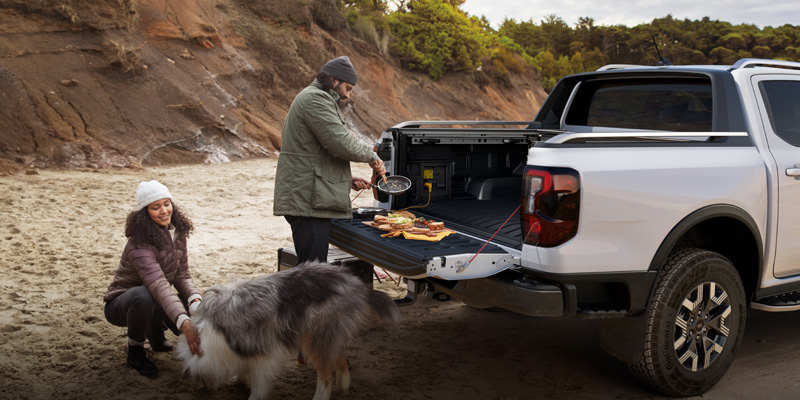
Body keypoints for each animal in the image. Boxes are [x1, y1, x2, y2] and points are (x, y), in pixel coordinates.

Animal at [175, 260, 400, 398]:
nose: (205, 388)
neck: (212, 333)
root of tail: (356, 284)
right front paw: (240, 381)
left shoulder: (263, 355)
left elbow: (258, 384)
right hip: (323, 338)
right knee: (341, 361)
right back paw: (342, 388)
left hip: (316, 339)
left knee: (325, 377)